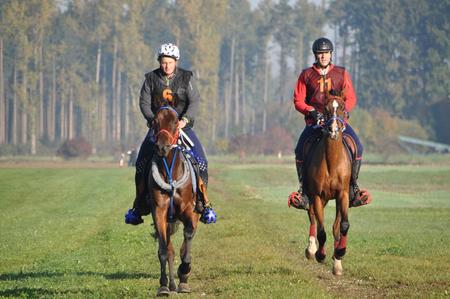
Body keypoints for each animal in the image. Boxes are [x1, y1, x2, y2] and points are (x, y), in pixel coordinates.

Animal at [149, 105, 200, 296]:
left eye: (175, 122)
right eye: (155, 122)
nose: (162, 147)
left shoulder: (190, 211)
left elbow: (187, 239)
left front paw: (184, 272)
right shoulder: (159, 212)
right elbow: (164, 250)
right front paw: (163, 285)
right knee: (169, 249)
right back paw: (170, 283)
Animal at [304, 94, 354, 276]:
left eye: (342, 107)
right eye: (325, 109)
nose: (333, 130)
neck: (332, 161)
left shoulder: (343, 195)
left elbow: (342, 226)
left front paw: (339, 254)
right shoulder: (318, 196)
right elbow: (321, 231)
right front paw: (320, 254)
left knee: (334, 227)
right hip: (317, 198)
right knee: (312, 217)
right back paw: (311, 250)